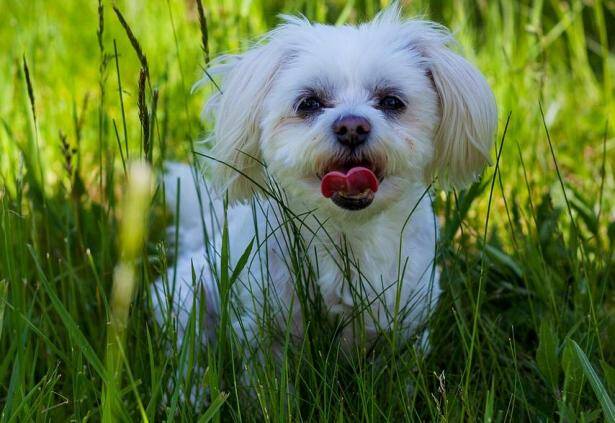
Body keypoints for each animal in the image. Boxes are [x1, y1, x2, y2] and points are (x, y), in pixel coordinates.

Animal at [152, 4, 498, 362]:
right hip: (186, 298)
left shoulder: (407, 325)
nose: (352, 126)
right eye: (309, 103)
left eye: (391, 101)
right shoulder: (264, 326)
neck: (348, 233)